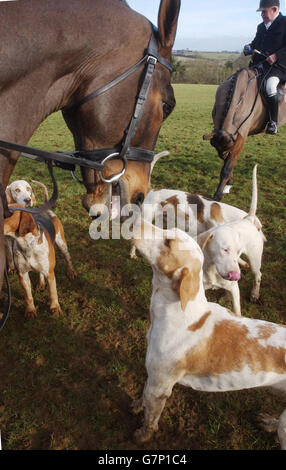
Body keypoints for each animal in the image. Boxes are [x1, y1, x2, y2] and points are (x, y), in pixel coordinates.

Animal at [131, 219, 286, 448]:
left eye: (168, 242)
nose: (136, 220)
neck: (179, 312)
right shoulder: (152, 379)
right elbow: (142, 396)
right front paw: (137, 405)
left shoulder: (159, 387)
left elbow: (150, 420)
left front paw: (142, 435)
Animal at [203, 65, 286, 200]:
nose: (224, 155)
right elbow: (229, 163)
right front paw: (229, 183)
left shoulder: (241, 137)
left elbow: (227, 167)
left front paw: (218, 195)